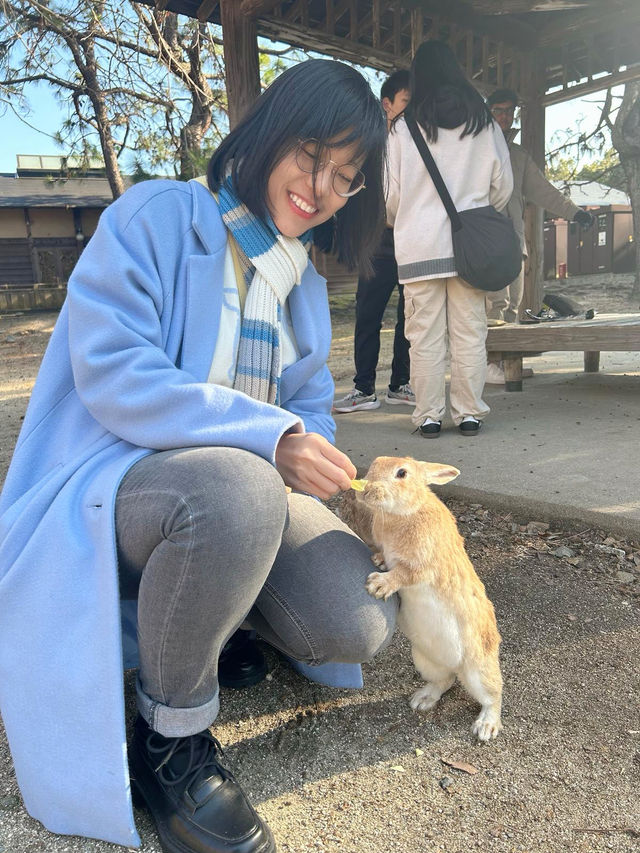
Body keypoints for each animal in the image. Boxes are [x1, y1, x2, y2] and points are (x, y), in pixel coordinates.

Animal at [342, 452, 502, 740]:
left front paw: (378, 585)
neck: (404, 512)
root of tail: (457, 667)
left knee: (493, 695)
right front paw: (378, 562)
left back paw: (486, 727)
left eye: (402, 473)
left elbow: (404, 575)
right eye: (375, 463)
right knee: (444, 680)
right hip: (425, 659)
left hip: (479, 669)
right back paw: (423, 700)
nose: (366, 490)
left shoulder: (423, 566)